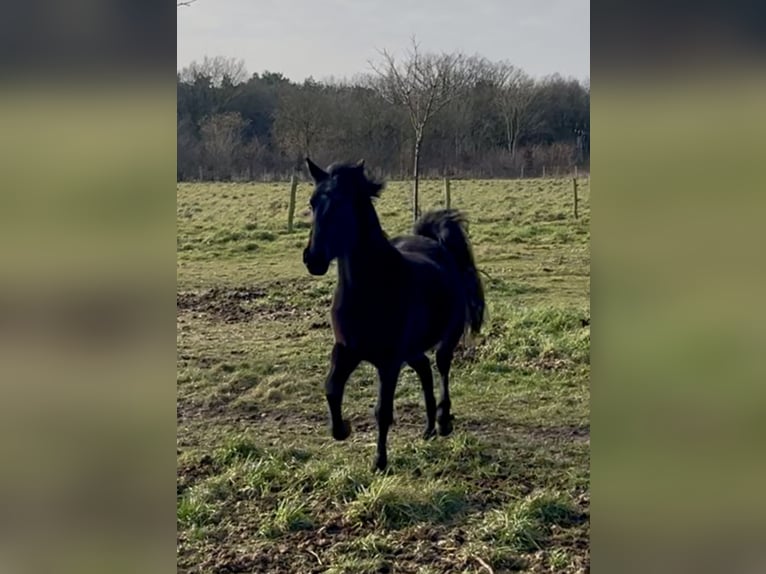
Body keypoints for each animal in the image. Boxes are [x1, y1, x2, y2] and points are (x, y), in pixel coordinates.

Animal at [302, 159, 486, 472]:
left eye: (341, 203)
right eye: (312, 202)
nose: (313, 259)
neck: (370, 291)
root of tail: (436, 244)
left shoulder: (388, 362)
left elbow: (382, 410)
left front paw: (380, 461)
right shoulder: (346, 350)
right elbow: (331, 389)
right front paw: (343, 429)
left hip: (444, 340)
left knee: (441, 367)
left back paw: (442, 422)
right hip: (410, 350)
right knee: (424, 368)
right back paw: (428, 428)